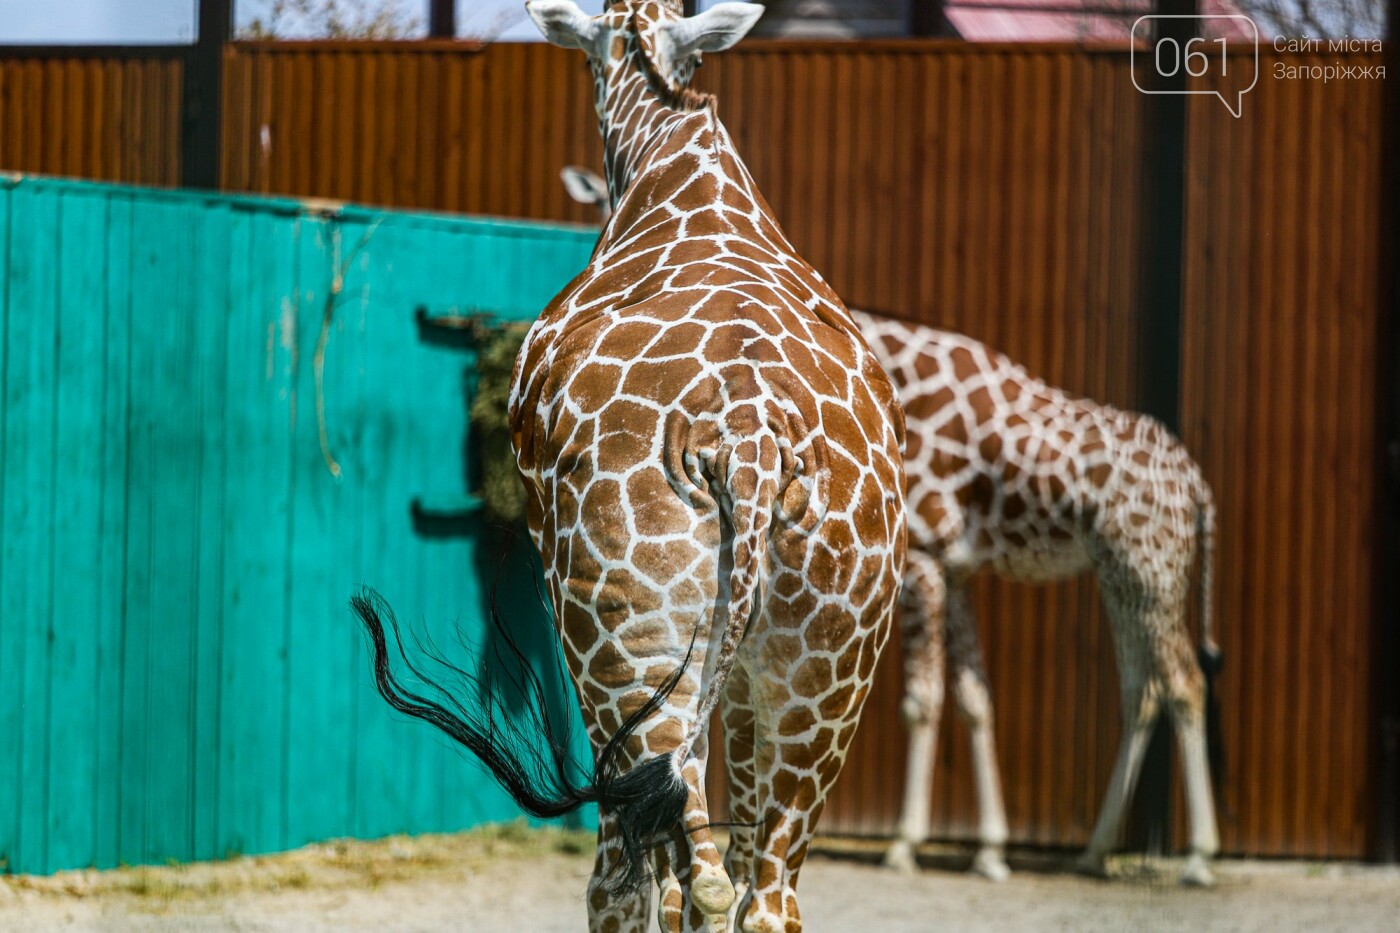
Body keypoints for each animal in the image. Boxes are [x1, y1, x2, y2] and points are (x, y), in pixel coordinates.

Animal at [361, 1, 907, 930]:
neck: (675, 169)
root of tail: (749, 440)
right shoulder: (746, 665)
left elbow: (651, 869)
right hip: (830, 659)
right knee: (764, 885)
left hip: (623, 636)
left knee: (647, 866)